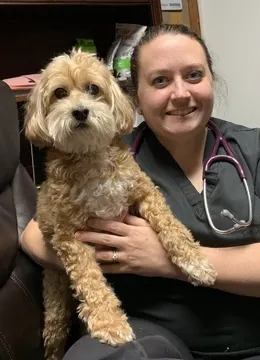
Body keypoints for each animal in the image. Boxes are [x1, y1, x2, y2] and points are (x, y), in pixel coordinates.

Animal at [24, 48, 216, 360]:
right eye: (60, 93)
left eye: (93, 89)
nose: (80, 111)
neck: (91, 155)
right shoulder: (69, 236)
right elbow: (91, 281)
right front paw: (109, 322)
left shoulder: (145, 192)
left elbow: (171, 225)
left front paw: (195, 261)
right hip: (55, 302)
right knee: (55, 331)